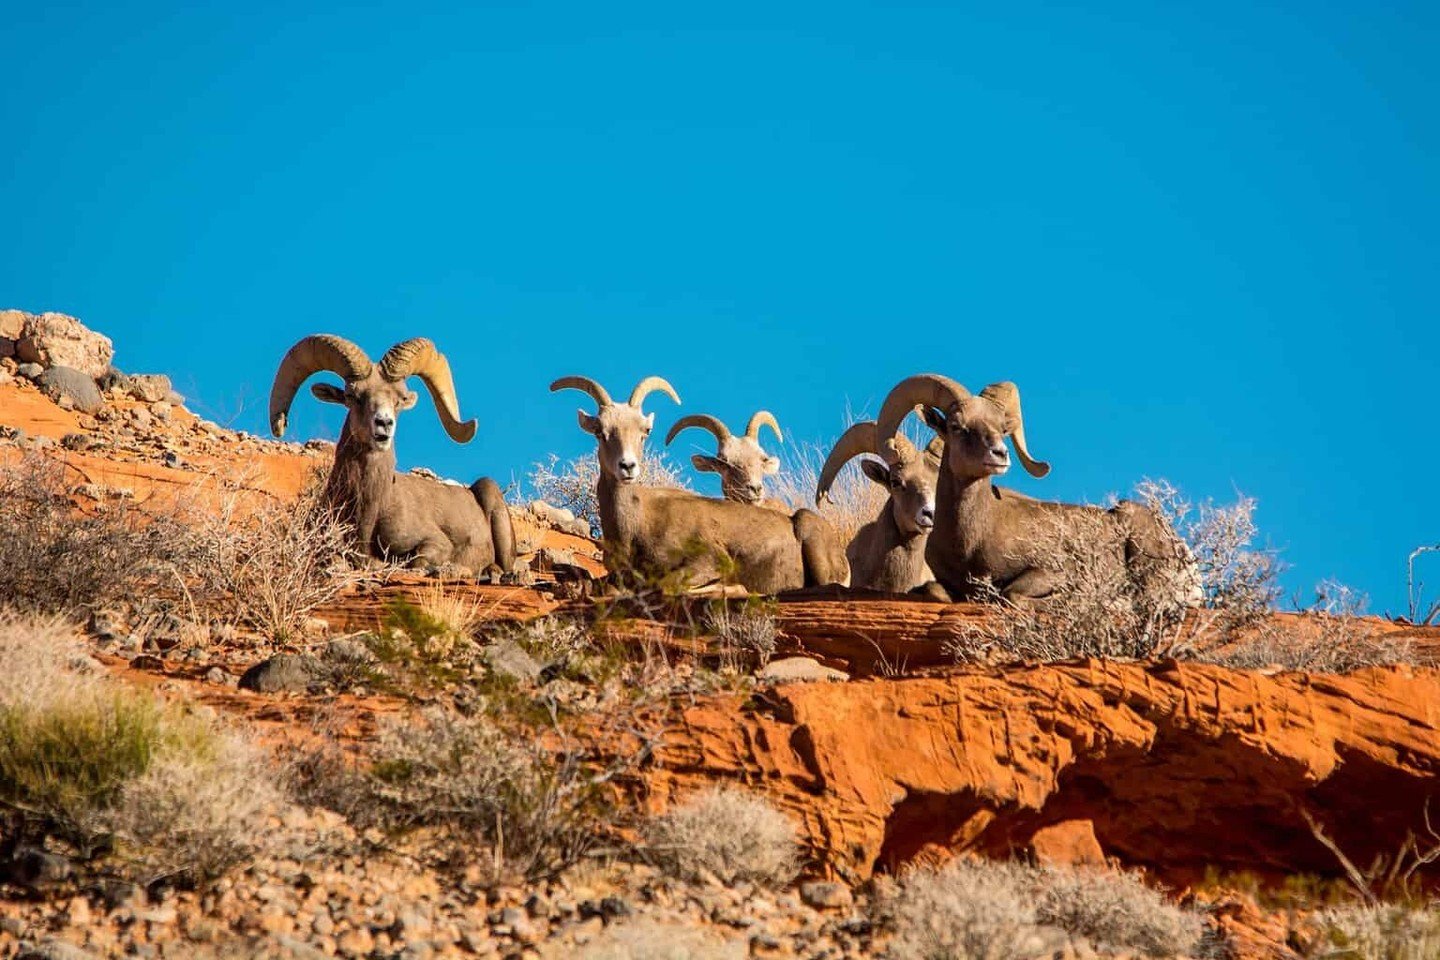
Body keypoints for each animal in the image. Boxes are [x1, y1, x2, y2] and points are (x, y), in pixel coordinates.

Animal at [269, 334, 515, 576]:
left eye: (400, 399)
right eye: (352, 395)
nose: (384, 423)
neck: (369, 510)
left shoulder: (437, 544)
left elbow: (415, 560)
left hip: (490, 495)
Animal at [550, 375, 849, 592]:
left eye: (645, 432)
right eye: (600, 432)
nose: (628, 467)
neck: (636, 525)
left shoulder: (709, 561)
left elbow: (668, 586)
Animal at [874, 374, 1200, 610]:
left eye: (1002, 429)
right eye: (957, 426)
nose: (1000, 454)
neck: (971, 539)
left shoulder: (1050, 571)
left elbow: (1011, 595)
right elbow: (933, 590)